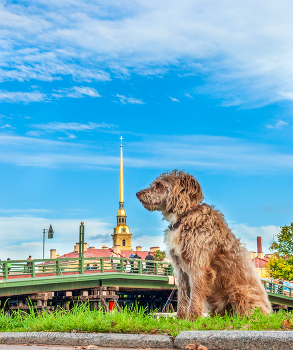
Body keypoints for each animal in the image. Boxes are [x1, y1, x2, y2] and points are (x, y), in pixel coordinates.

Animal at [136, 171, 270, 318]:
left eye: (159, 185)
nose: (137, 194)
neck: (183, 217)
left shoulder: (198, 267)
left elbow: (195, 296)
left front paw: (192, 318)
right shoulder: (181, 271)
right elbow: (183, 296)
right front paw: (180, 318)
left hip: (241, 293)